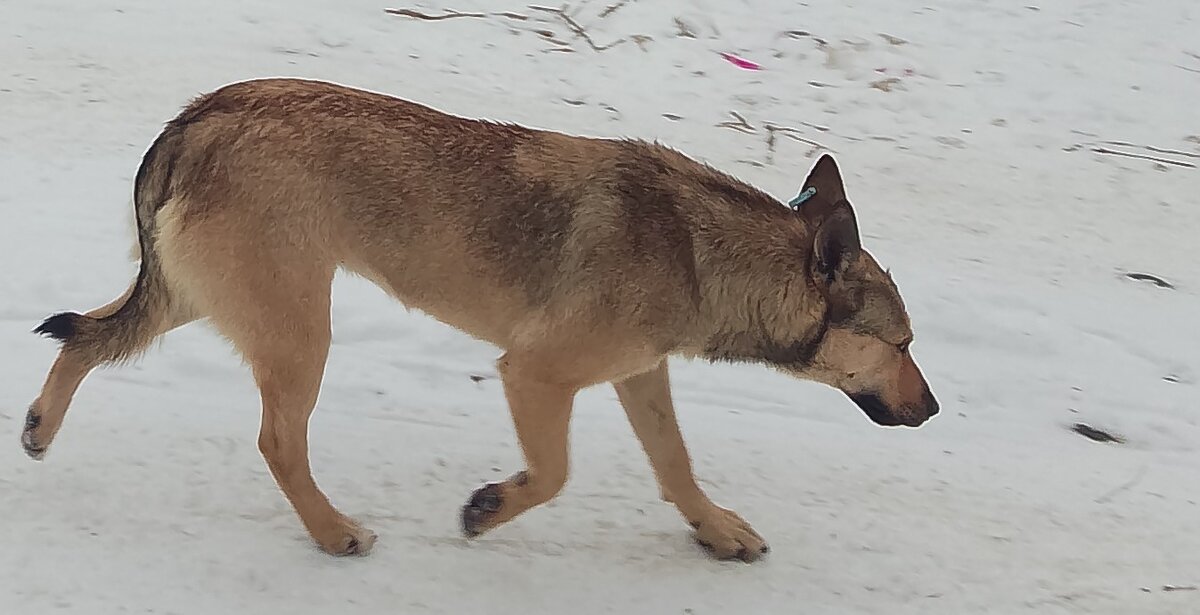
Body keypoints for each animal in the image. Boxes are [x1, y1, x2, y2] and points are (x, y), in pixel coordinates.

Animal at [21, 79, 936, 564]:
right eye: (899, 343)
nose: (932, 411)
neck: (701, 250)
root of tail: (197, 115)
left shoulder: (641, 373)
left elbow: (676, 465)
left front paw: (714, 530)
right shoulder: (535, 374)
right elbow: (555, 473)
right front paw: (489, 506)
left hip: (192, 297)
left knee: (87, 337)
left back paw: (37, 428)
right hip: (298, 330)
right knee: (277, 441)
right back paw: (333, 531)